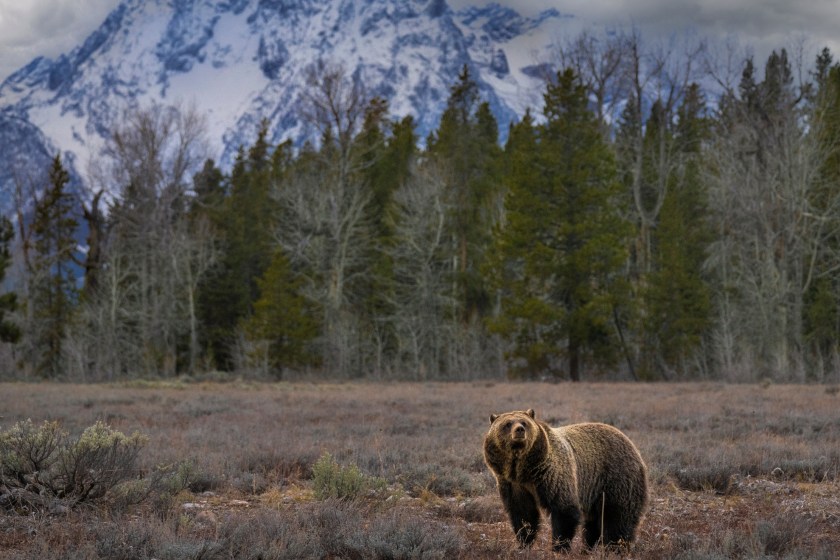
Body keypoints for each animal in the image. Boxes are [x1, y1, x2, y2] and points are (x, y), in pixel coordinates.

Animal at [483, 408, 648, 552]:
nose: (519, 430)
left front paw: (559, 548)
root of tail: (630, 442)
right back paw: (587, 548)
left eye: (524, 422)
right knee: (593, 522)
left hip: (616, 479)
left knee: (618, 518)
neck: (523, 470)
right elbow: (523, 514)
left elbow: (564, 510)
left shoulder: (552, 475)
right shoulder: (513, 484)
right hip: (595, 491)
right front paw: (523, 544)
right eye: (507, 424)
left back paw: (615, 548)